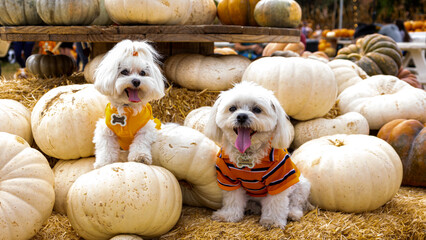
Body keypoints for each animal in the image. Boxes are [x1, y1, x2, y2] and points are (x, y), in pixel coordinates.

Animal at [93, 40, 165, 169]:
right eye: (124, 72)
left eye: (143, 73)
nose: (136, 81)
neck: (128, 107)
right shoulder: (105, 130)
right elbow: (106, 147)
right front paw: (104, 163)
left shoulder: (147, 127)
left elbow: (141, 141)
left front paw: (140, 157)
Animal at [205, 81, 312, 229]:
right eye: (232, 108)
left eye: (257, 109)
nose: (242, 116)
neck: (248, 154)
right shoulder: (229, 179)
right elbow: (232, 200)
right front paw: (228, 215)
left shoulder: (279, 180)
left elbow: (276, 203)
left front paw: (272, 220)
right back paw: (252, 207)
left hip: (301, 184)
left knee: (296, 202)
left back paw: (292, 213)